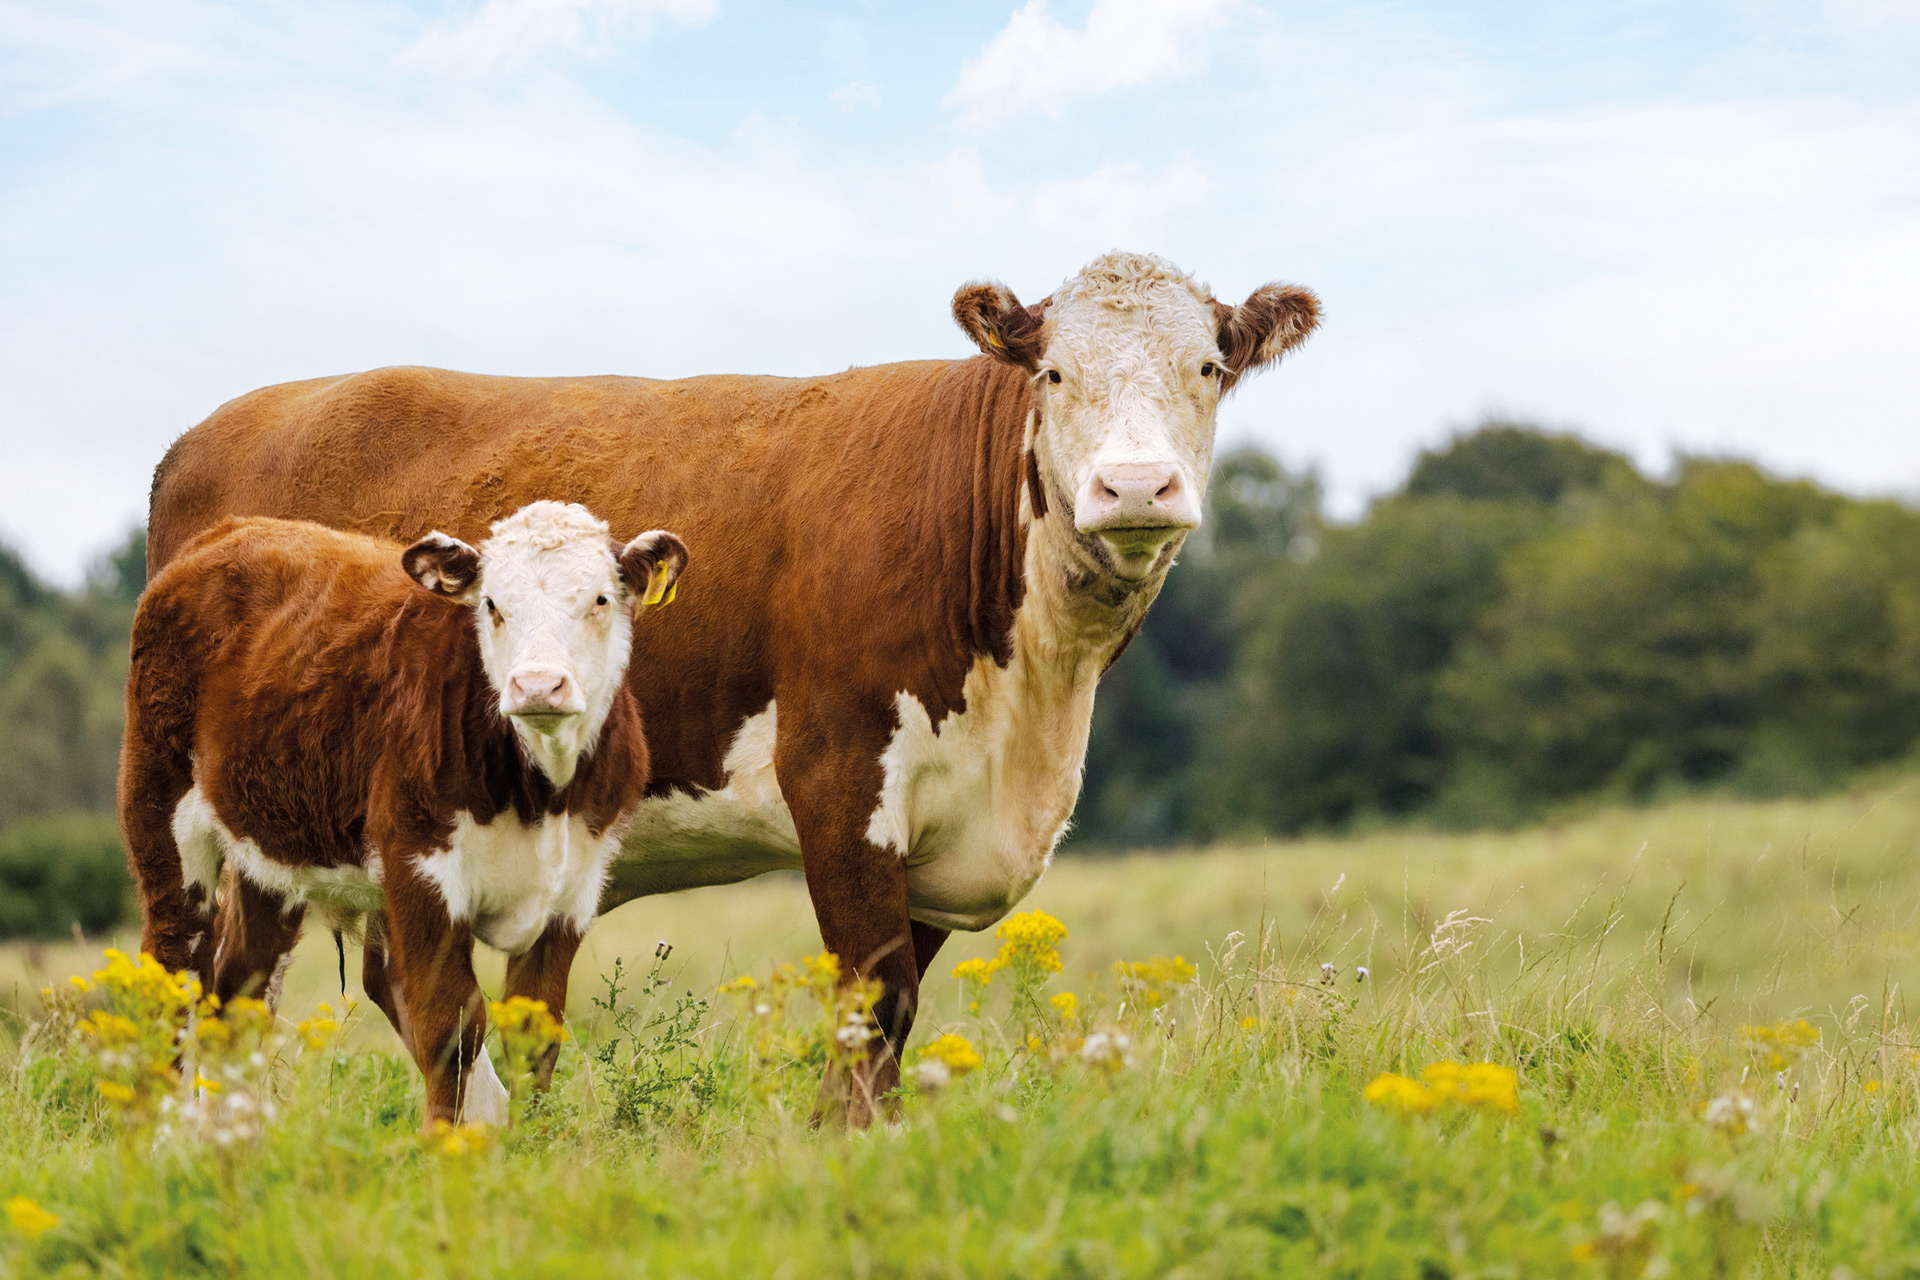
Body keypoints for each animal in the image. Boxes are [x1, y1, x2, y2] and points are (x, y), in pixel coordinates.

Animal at [120, 506, 691, 1128]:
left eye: (600, 599)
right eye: (492, 604)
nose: (538, 685)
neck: (542, 792)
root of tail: (233, 529)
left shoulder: (574, 890)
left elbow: (535, 1037)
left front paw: (531, 1142)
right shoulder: (420, 870)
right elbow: (451, 1026)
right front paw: (445, 1143)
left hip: (268, 852)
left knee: (238, 991)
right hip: (163, 818)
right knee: (169, 975)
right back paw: (153, 1134)